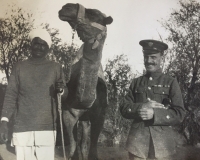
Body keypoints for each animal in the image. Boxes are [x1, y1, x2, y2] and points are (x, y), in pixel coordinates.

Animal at [58, 3, 113, 159]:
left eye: (94, 14)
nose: (65, 7)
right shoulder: (69, 114)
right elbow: (72, 150)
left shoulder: (100, 116)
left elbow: (93, 149)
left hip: (86, 120)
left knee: (84, 143)